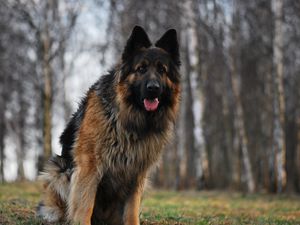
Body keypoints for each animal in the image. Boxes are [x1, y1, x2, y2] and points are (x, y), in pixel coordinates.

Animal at [35, 25, 180, 224]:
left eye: (162, 70)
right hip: (58, 170)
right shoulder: (89, 165)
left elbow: (132, 210)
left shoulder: (137, 173)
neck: (130, 120)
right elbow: (84, 204)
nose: (153, 88)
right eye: (141, 69)